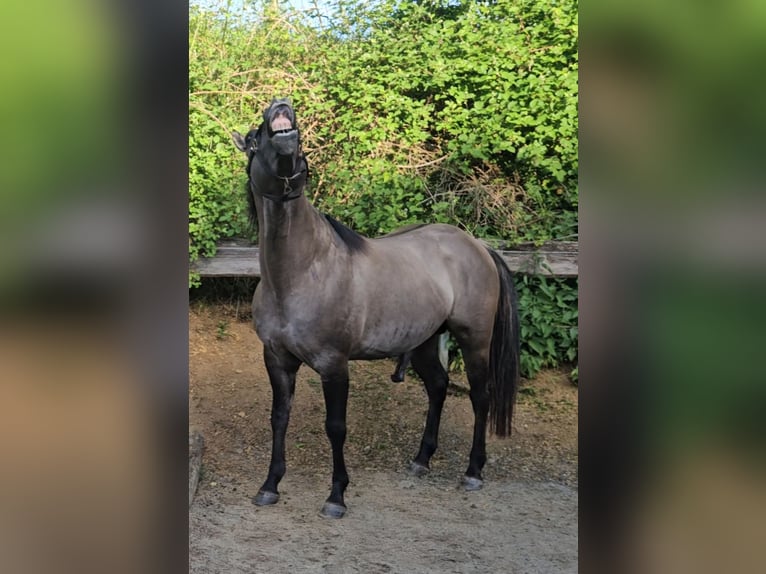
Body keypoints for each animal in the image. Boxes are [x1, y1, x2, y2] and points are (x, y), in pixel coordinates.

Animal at [232, 99, 520, 519]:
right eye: (255, 137)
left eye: (301, 145)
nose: (281, 106)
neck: (300, 275)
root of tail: (477, 246)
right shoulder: (277, 360)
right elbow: (279, 418)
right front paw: (270, 486)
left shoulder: (334, 365)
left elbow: (336, 427)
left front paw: (336, 496)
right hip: (424, 341)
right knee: (438, 387)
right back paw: (421, 460)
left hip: (475, 340)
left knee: (480, 396)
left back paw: (473, 472)